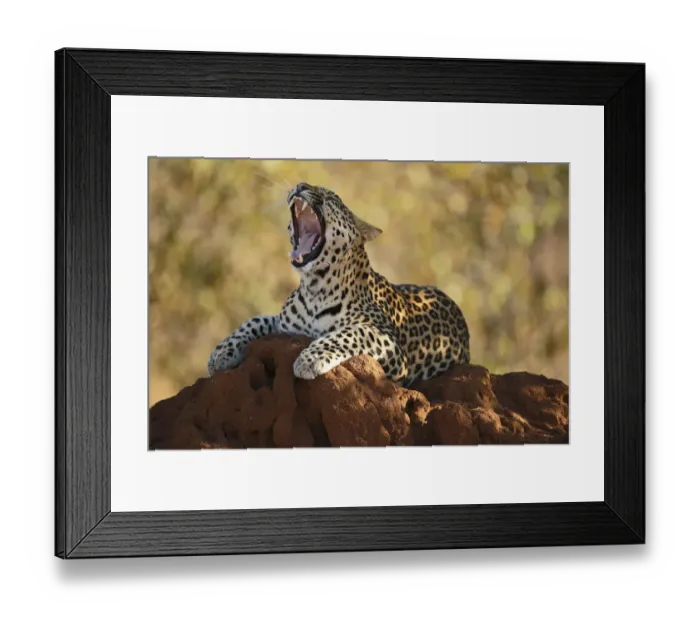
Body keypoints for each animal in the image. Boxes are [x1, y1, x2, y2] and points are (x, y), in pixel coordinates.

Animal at [207, 181, 471, 386]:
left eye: (332, 197)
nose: (301, 185)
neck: (315, 288)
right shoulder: (286, 328)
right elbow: (254, 320)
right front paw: (220, 353)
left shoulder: (391, 344)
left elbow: (349, 333)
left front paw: (309, 360)